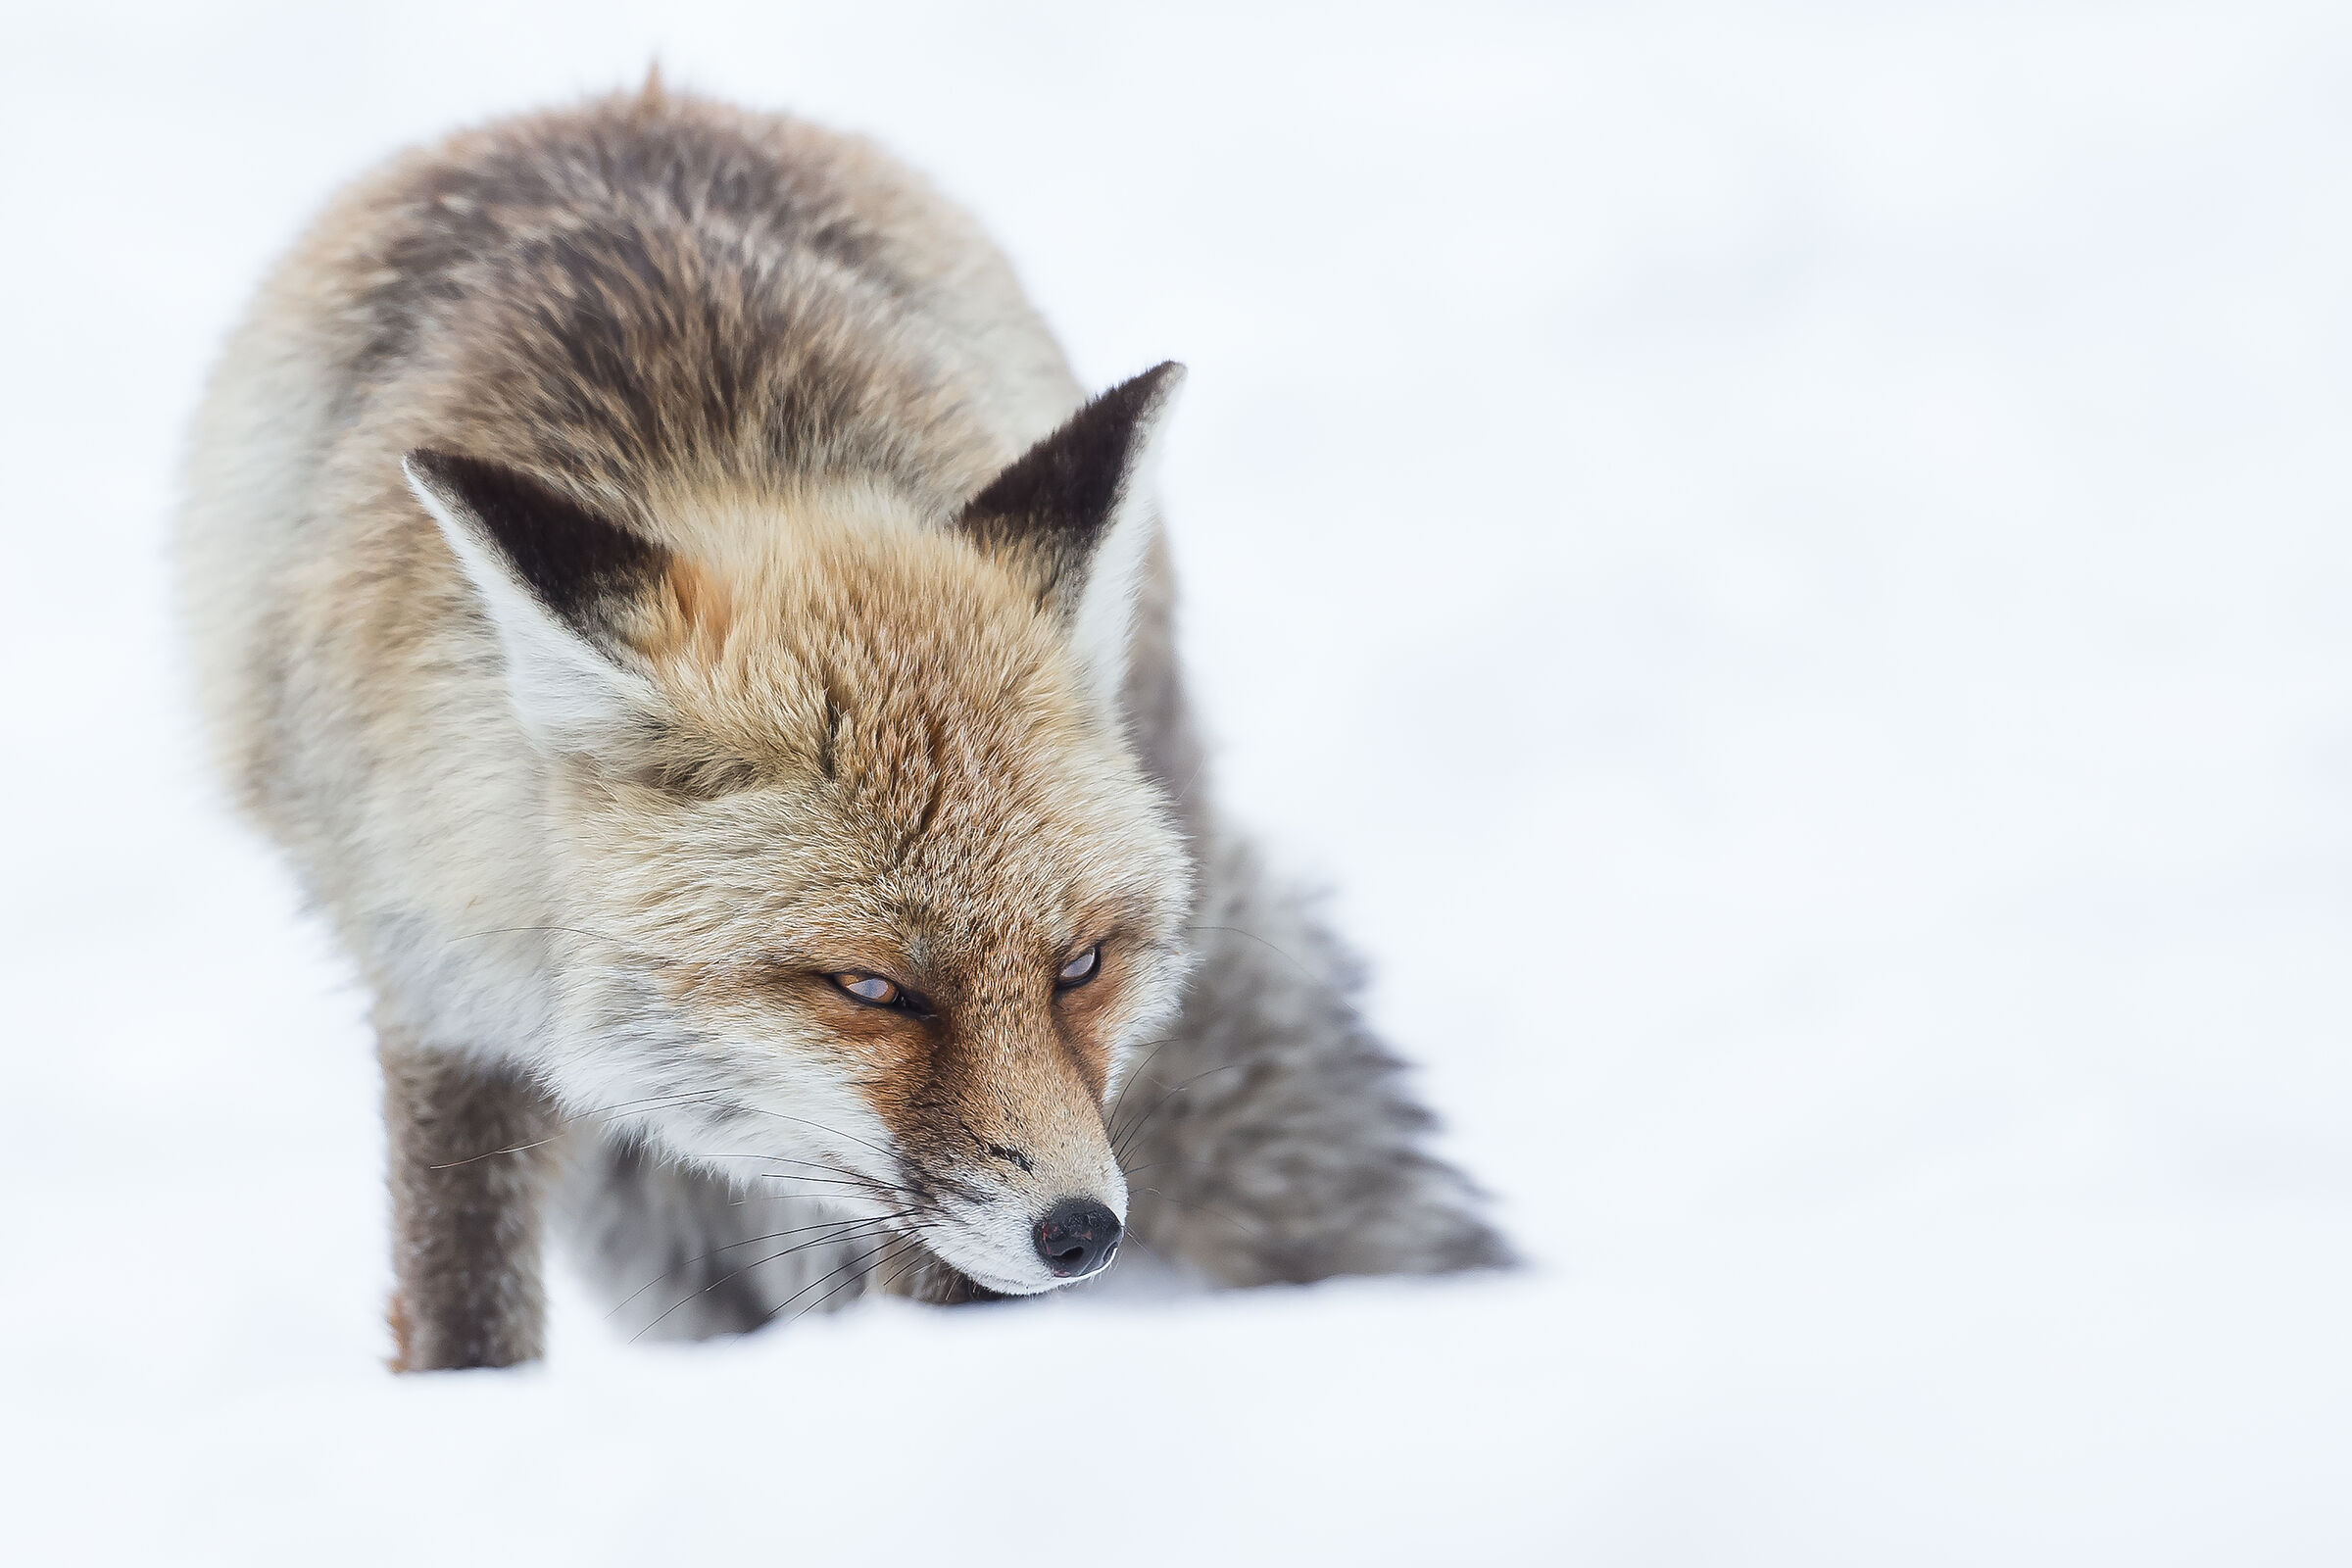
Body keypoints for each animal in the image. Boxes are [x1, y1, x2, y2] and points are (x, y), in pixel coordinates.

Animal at [175, 79, 1508, 1370]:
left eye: (1080, 964)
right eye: (871, 987)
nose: (1081, 1232)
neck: (713, 450)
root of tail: (621, 98)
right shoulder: (446, 1010)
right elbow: (466, 1310)